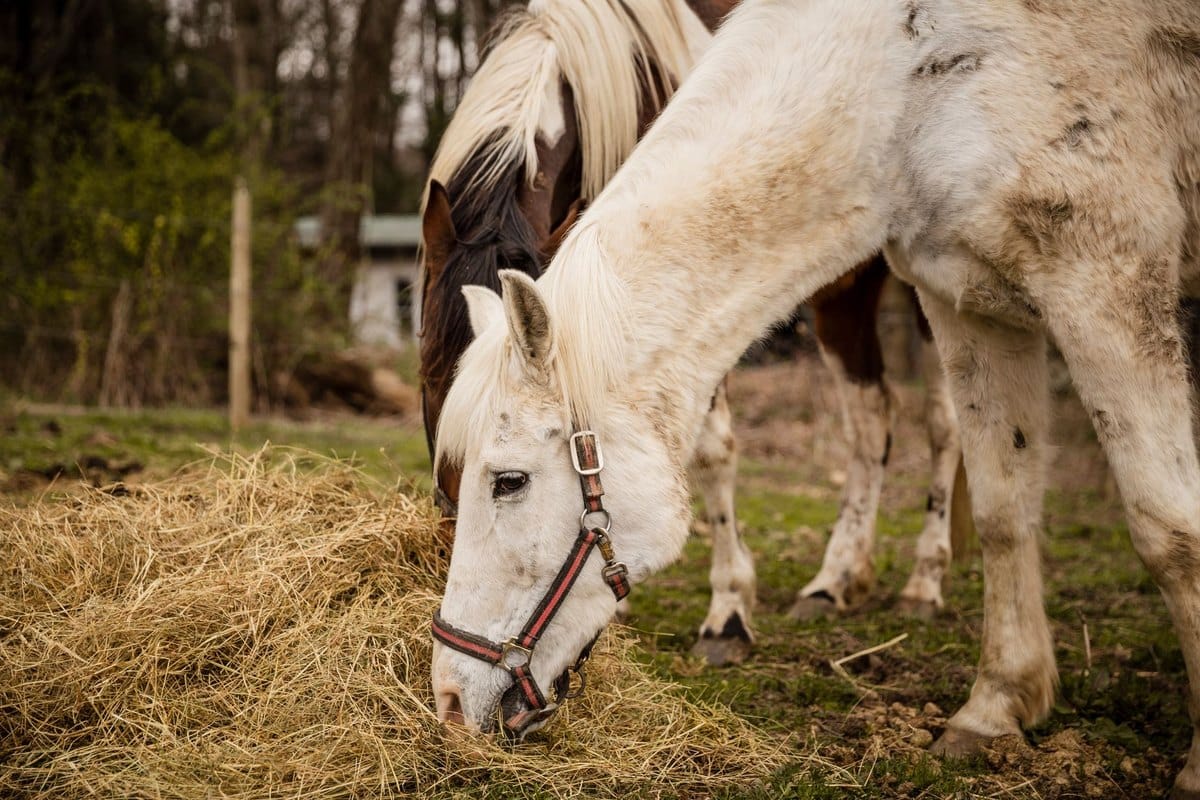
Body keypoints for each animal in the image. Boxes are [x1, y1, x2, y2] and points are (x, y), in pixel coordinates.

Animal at [418, 0, 968, 669]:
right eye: (429, 375)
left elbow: (712, 450)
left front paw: (728, 612)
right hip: (843, 296)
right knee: (871, 417)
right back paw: (835, 580)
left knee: (943, 424)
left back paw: (924, 581)